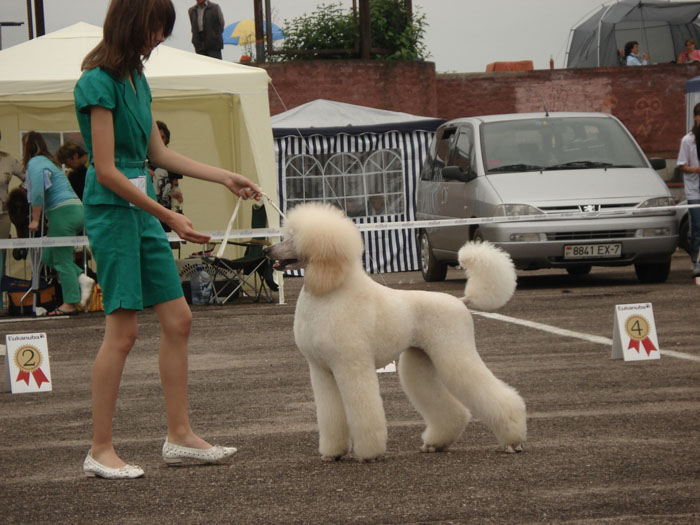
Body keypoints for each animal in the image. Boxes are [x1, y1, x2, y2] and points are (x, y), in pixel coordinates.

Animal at [264, 203, 526, 461]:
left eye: (294, 238)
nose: (267, 250)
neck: (330, 290)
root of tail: (462, 301)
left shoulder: (351, 366)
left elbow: (363, 411)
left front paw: (369, 453)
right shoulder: (322, 371)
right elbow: (331, 414)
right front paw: (333, 453)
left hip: (454, 350)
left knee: (493, 394)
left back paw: (512, 442)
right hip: (421, 358)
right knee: (451, 408)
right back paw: (436, 443)